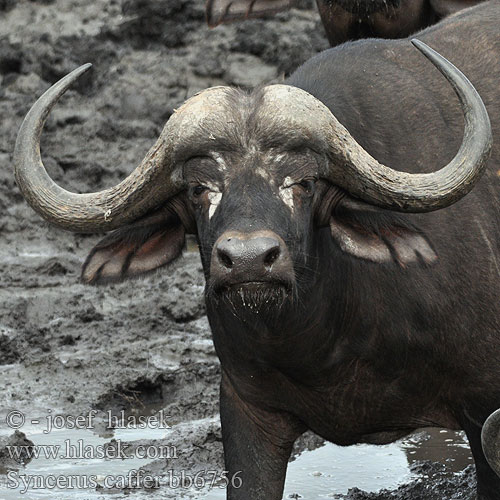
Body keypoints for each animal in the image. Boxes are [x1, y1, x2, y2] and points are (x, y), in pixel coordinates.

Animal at [13, 0, 498, 500]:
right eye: (198, 188)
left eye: (304, 182)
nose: (248, 261)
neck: (327, 338)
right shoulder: (246, 412)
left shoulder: (483, 411)